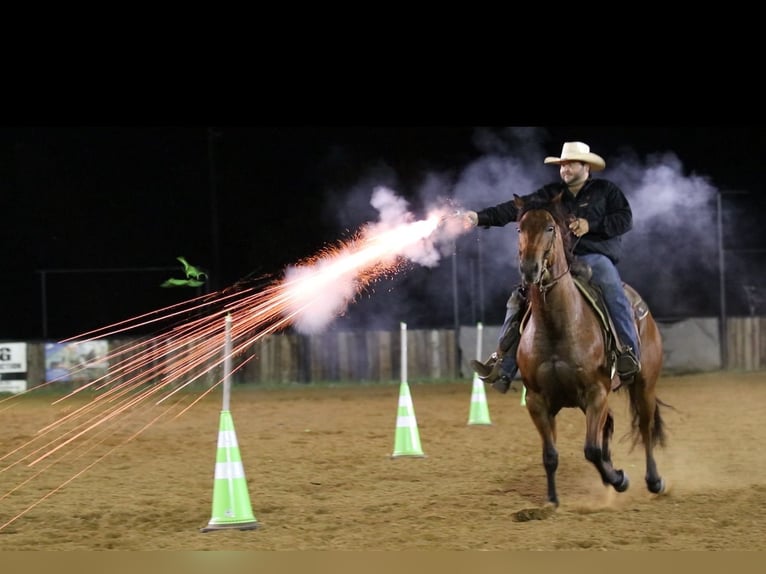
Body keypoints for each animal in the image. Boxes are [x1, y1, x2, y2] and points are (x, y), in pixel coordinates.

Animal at [516, 194, 672, 508]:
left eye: (550, 227)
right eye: (519, 229)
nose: (529, 269)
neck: (557, 327)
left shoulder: (595, 392)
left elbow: (591, 449)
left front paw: (620, 480)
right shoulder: (538, 401)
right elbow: (550, 455)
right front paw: (551, 501)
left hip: (644, 384)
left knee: (645, 427)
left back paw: (654, 481)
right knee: (609, 427)